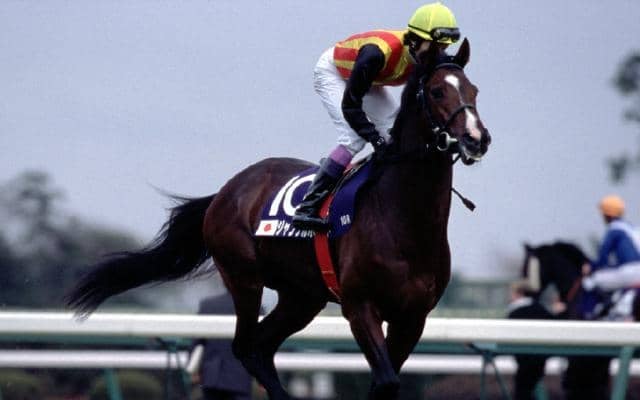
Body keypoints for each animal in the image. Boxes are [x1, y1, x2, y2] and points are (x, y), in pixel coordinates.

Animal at [66, 39, 491, 400]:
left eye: (474, 91)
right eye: (437, 91)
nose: (477, 138)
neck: (403, 220)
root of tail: (226, 190)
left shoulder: (413, 316)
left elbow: (384, 383)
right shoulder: (359, 305)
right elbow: (385, 381)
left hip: (302, 296)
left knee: (262, 346)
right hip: (244, 277)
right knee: (245, 346)